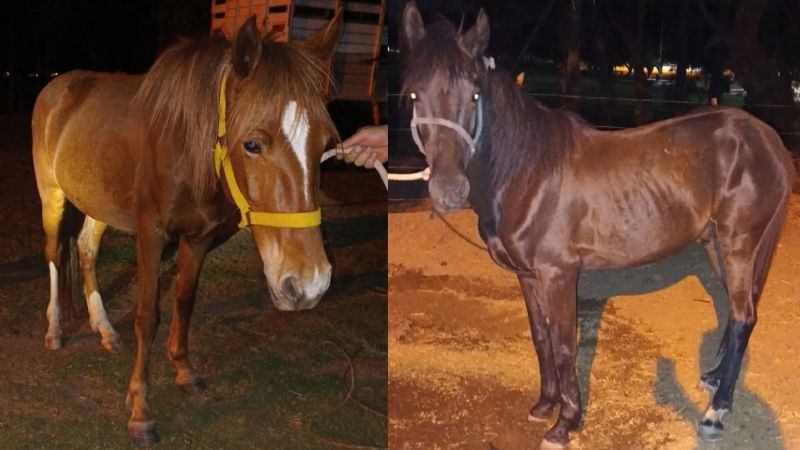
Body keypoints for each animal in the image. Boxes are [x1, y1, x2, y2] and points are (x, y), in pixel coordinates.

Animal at [31, 11, 343, 445]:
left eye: (325, 145)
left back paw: (105, 328)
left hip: (98, 205)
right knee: (54, 254)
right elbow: (148, 315)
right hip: (53, 196)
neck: (184, 147)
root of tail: (59, 86)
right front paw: (140, 411)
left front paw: (184, 371)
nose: (310, 283)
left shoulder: (198, 238)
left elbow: (184, 300)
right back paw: (56, 330)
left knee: (86, 251)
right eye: (251, 144)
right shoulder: (151, 235)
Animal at [401, 2, 794, 448]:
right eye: (414, 94)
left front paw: (565, 424)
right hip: (716, 246)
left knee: (744, 317)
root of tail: (767, 137)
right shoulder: (528, 276)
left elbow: (564, 346)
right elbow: (541, 339)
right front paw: (545, 406)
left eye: (474, 94)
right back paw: (713, 381)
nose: (449, 190)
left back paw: (715, 413)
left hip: (739, 244)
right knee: (734, 312)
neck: (529, 172)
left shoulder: (559, 275)